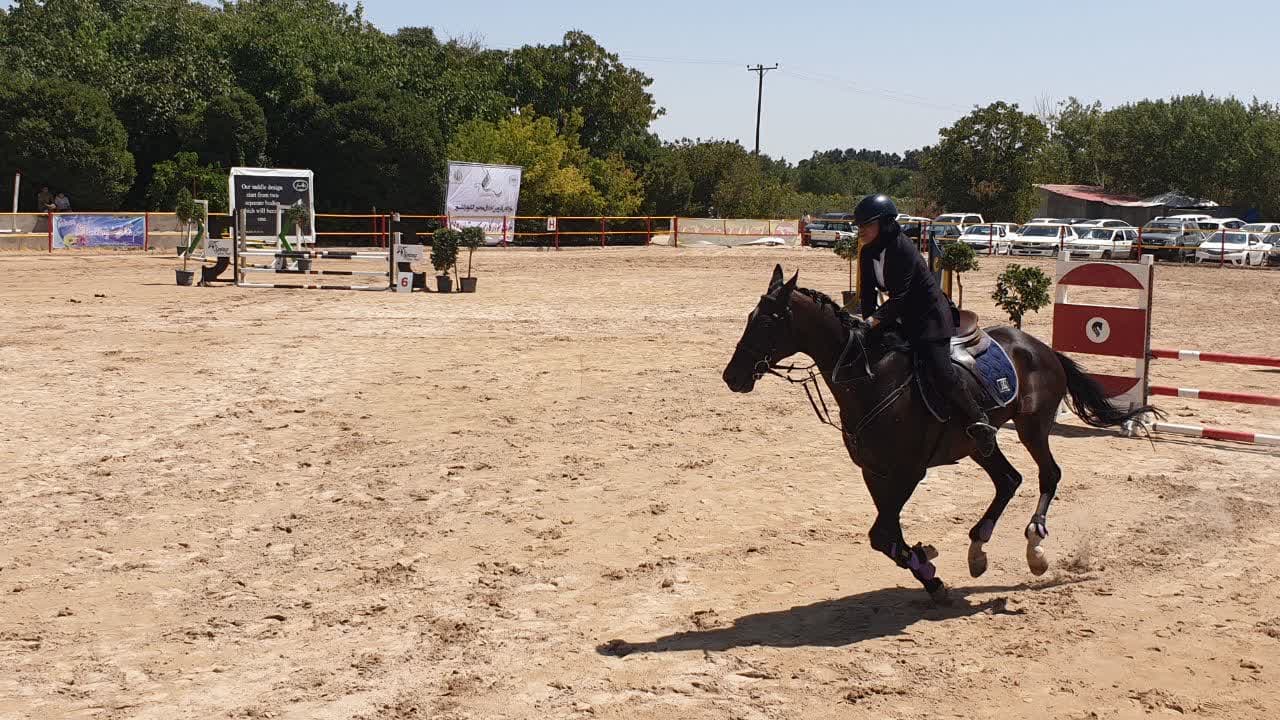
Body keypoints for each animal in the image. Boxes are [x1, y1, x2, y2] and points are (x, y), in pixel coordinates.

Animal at [721, 263, 1162, 599]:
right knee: (1008, 479)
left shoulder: (907, 471)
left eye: (768, 321)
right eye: (749, 319)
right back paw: (978, 551)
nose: (732, 377)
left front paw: (928, 568)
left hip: (1031, 426)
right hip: (978, 443)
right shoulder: (875, 473)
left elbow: (882, 534)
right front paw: (927, 567)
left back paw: (1035, 548)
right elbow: (887, 535)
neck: (868, 376)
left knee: (1047, 474)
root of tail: (1043, 348)